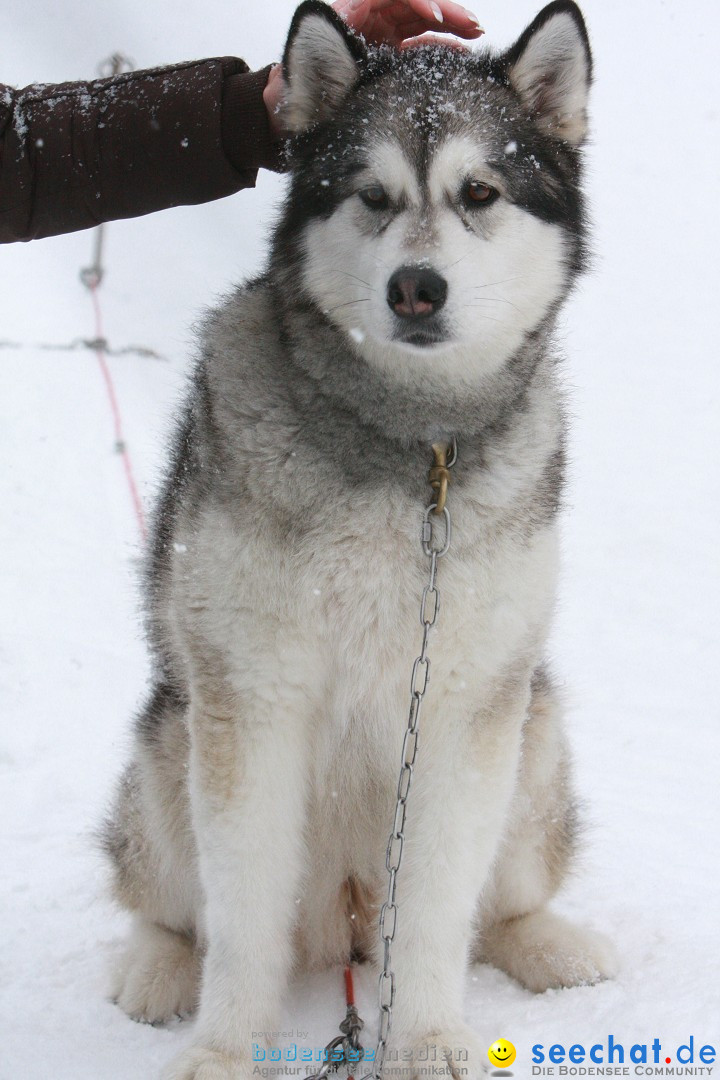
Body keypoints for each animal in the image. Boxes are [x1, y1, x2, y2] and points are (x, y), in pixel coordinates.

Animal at [104, 4, 617, 1075]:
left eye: (479, 192)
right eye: (372, 196)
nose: (416, 288)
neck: (410, 444)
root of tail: (339, 925)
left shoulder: (466, 707)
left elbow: (436, 911)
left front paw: (427, 1038)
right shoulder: (251, 697)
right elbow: (241, 917)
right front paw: (227, 1049)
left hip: (533, 733)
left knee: (494, 907)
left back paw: (550, 943)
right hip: (170, 741)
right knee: (171, 905)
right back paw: (158, 968)